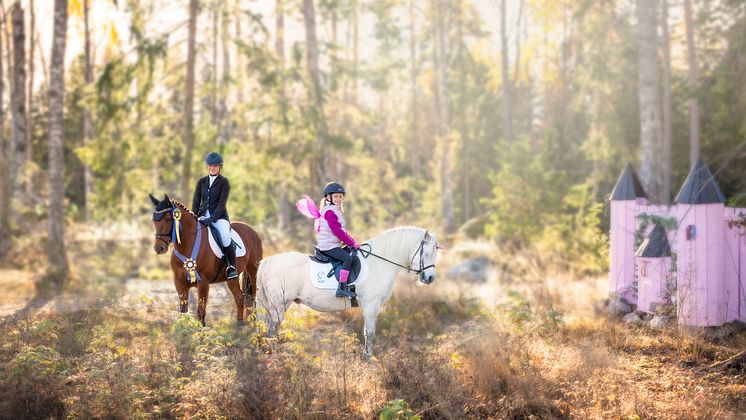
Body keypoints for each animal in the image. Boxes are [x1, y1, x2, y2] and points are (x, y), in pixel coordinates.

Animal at [148, 194, 262, 324]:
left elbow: (201, 312)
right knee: (239, 298)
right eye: (154, 220)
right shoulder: (179, 283)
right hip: (231, 278)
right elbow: (183, 312)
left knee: (254, 296)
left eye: (167, 219)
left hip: (253, 270)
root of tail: (251, 230)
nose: (159, 248)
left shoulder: (203, 282)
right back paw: (240, 325)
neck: (187, 246)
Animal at [256, 228, 438, 356]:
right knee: (271, 332)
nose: (430, 278)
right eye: (426, 254)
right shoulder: (371, 305)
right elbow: (369, 333)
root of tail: (267, 261)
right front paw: (368, 358)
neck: (379, 263)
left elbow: (367, 333)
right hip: (279, 305)